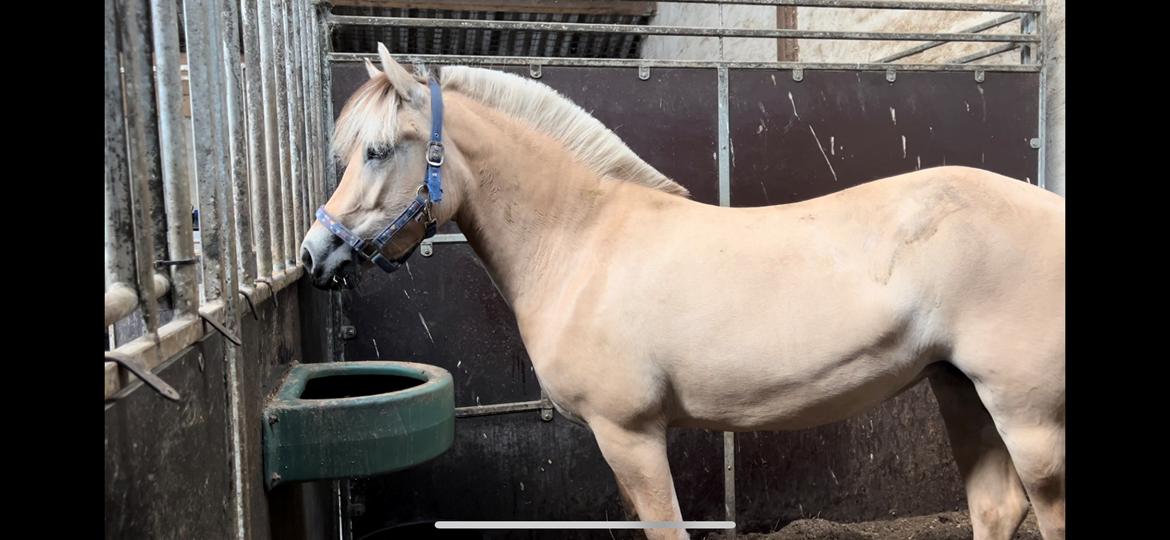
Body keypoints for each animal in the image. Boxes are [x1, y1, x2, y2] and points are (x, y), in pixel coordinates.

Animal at [297, 43, 1067, 540]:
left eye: (376, 151)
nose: (314, 254)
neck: (582, 241)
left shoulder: (630, 435)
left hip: (1026, 417)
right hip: (959, 389)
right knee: (996, 509)